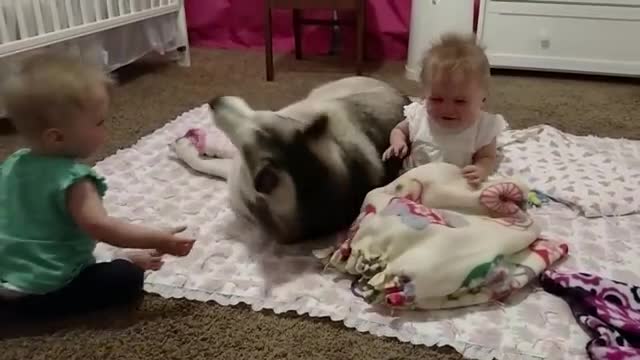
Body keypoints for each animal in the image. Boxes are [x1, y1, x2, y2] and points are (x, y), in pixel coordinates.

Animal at [182, 77, 410, 243]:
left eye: (246, 123)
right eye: (262, 114)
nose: (214, 101)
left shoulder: (238, 179)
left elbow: (208, 163)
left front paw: (185, 148)